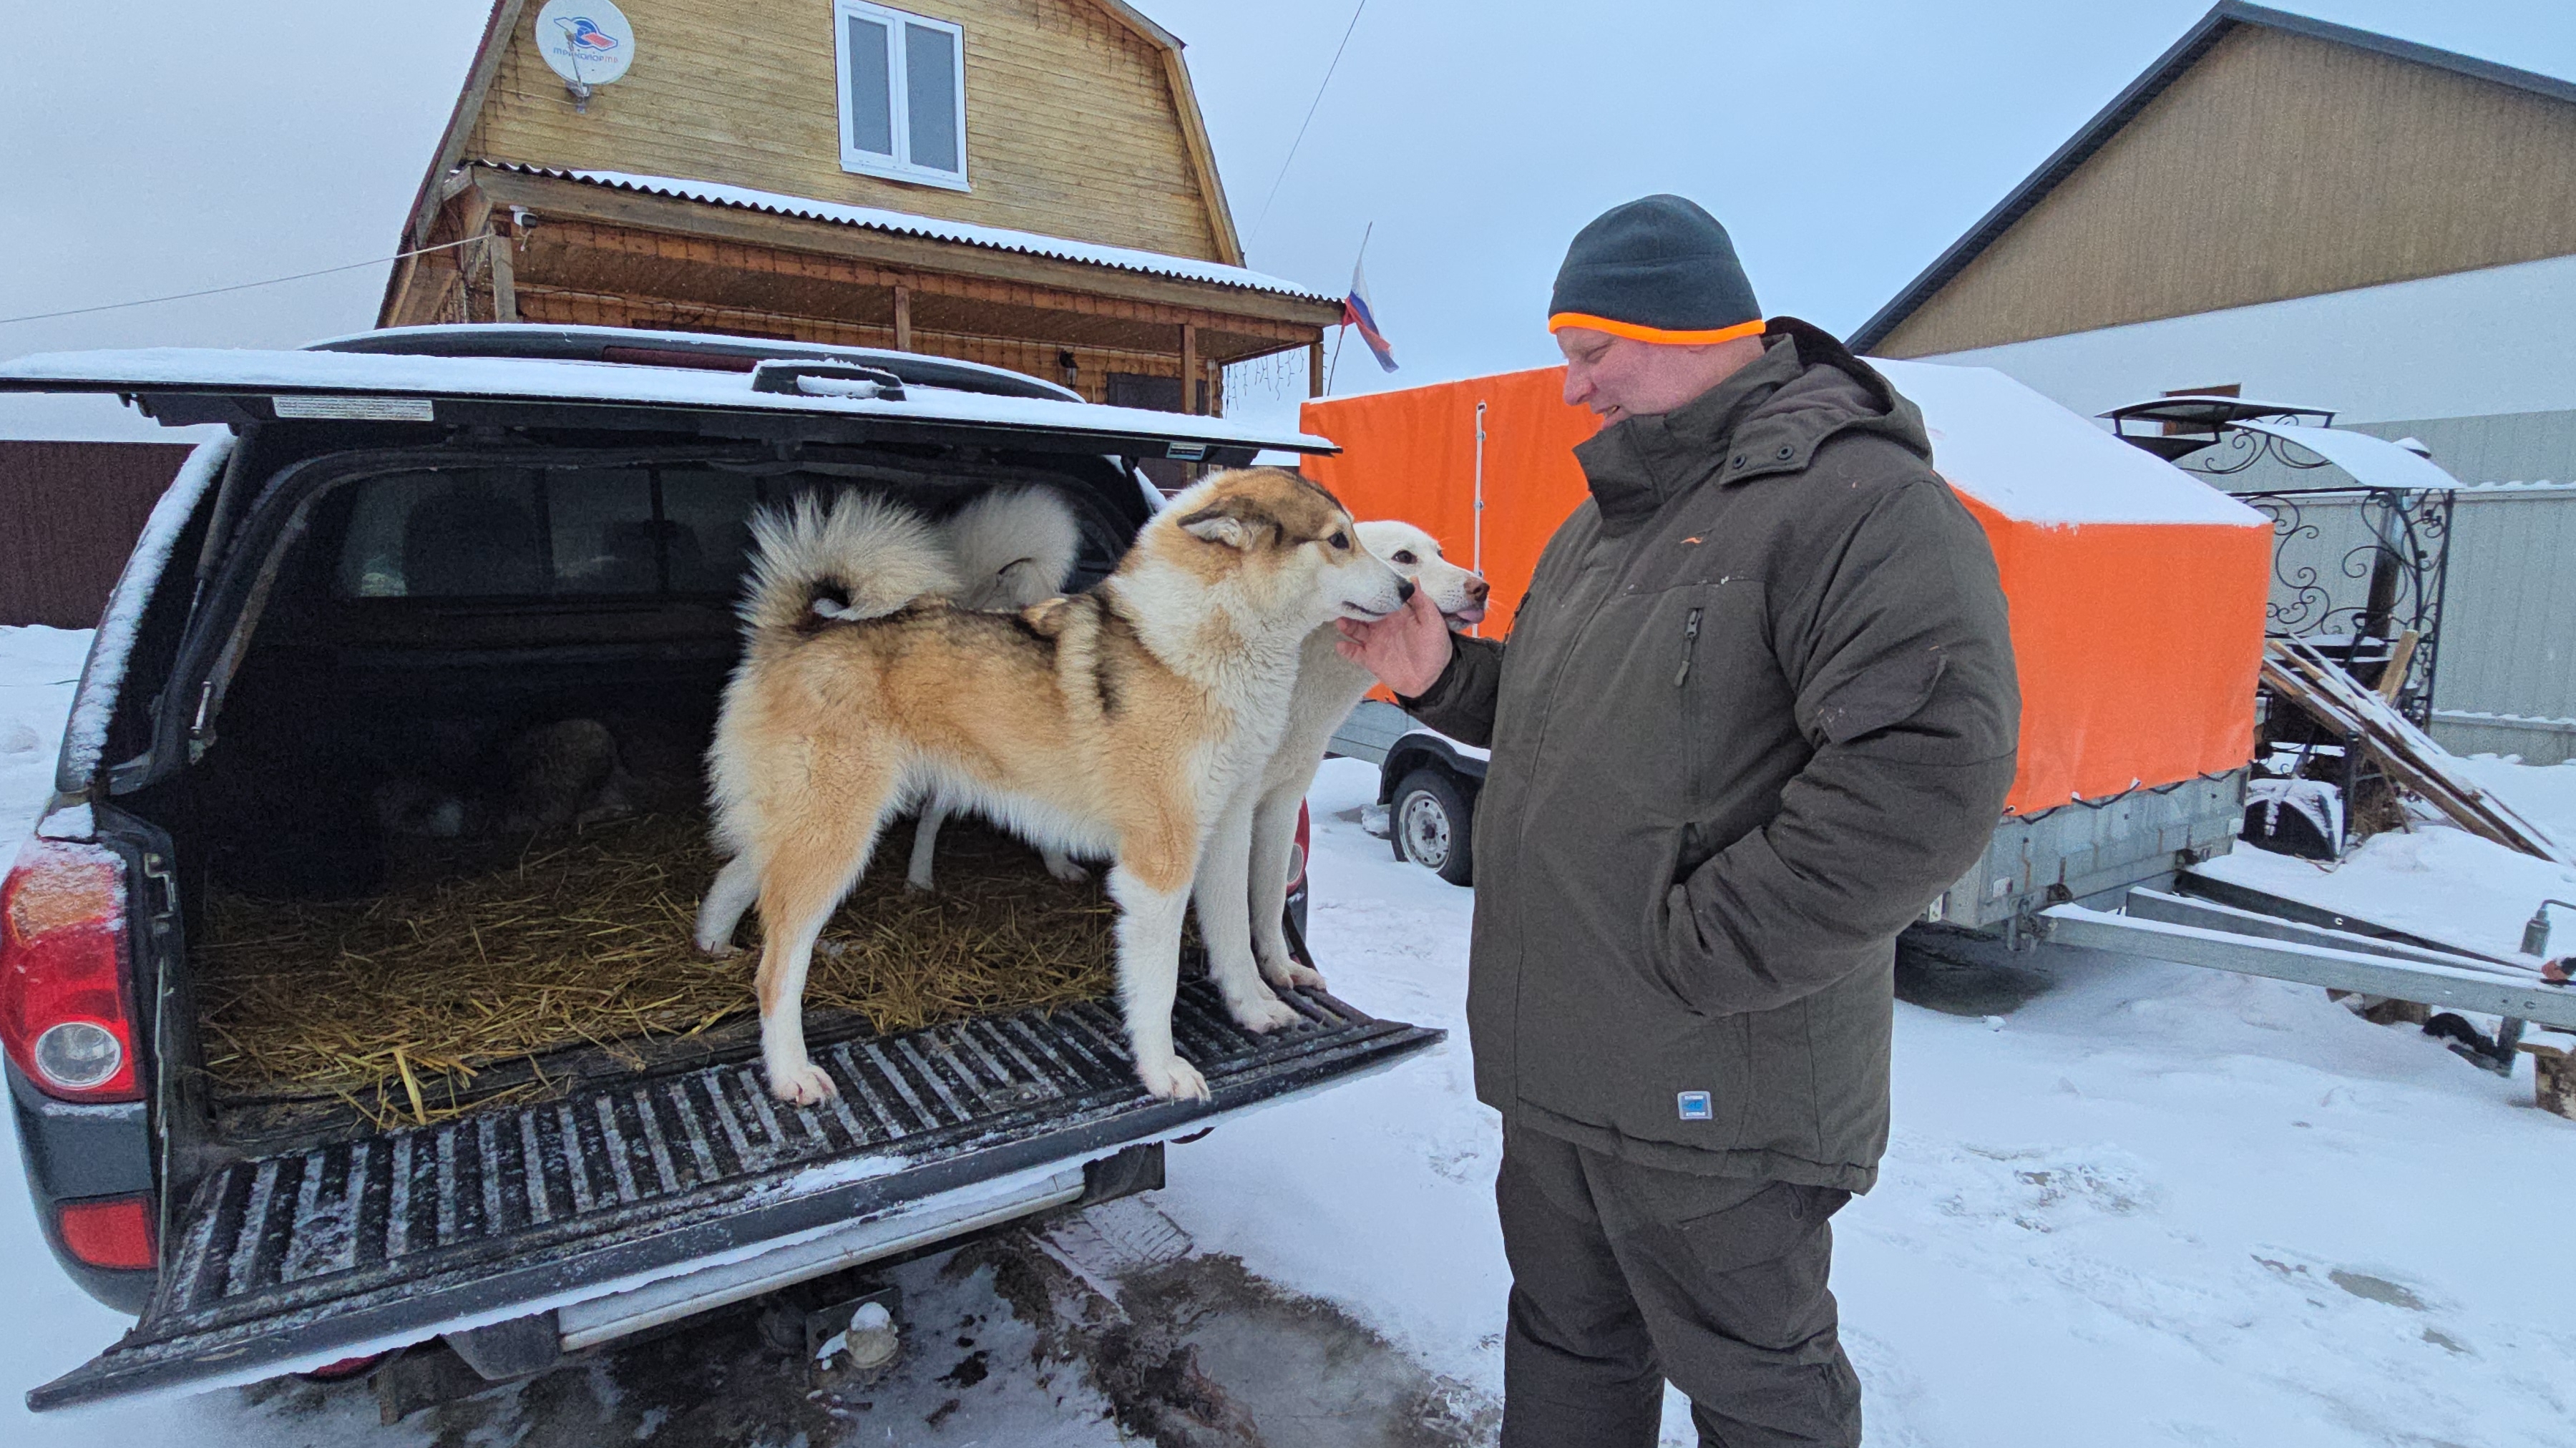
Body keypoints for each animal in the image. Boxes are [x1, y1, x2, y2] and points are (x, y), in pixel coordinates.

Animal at [706, 469, 1411, 1097]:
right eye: (1340, 540)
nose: (1407, 589)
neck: (1209, 647)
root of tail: (800, 629)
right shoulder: (1159, 863)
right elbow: (1159, 984)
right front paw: (1162, 1073)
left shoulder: (1226, 831)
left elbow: (1234, 939)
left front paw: (1254, 1010)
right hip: (837, 834)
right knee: (776, 969)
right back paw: (791, 1075)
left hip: (815, 824)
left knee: (740, 875)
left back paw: (713, 944)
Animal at [1190, 520, 1494, 1004]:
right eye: (1405, 557)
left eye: (1441, 553)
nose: (1481, 587)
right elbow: (1232, 910)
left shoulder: (1282, 804)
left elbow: (1270, 899)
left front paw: (1280, 969)